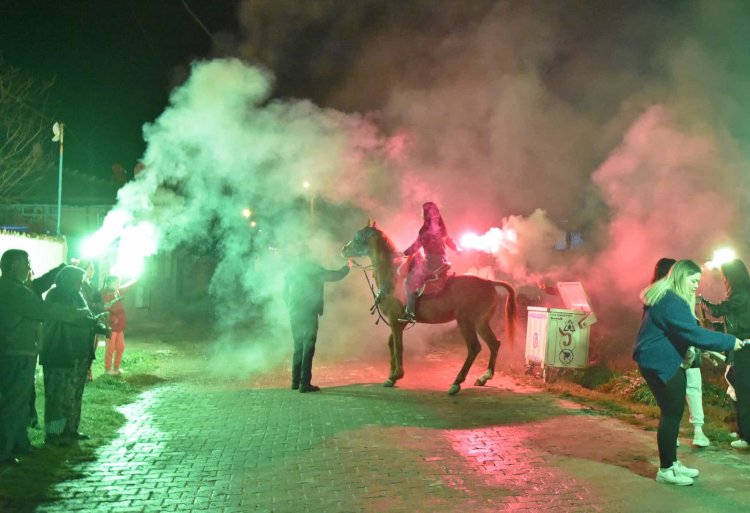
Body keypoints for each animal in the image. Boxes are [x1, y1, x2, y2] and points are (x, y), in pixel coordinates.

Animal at [340, 221, 516, 396]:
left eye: (357, 236)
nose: (343, 249)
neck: (393, 276)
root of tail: (489, 283)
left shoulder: (395, 320)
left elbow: (398, 346)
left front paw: (396, 375)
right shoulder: (399, 322)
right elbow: (391, 344)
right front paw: (391, 375)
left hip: (466, 322)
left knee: (474, 348)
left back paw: (457, 383)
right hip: (481, 323)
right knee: (494, 344)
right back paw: (484, 377)